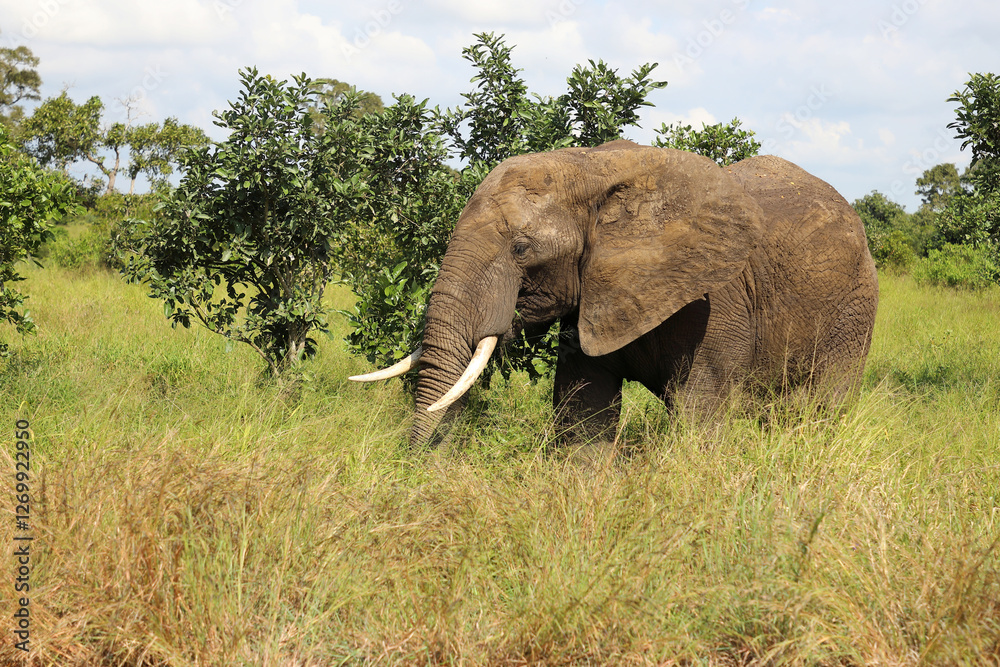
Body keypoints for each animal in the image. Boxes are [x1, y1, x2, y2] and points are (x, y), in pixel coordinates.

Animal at [351, 139, 879, 446]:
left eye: (521, 248)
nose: (415, 467)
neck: (592, 167)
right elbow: (584, 412)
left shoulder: (716, 298)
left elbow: (699, 416)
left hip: (854, 308)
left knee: (823, 406)